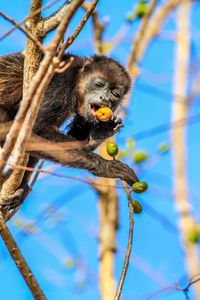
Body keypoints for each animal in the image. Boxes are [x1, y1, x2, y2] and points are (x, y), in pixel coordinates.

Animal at [0, 52, 138, 209]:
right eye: (99, 84)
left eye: (115, 94)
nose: (105, 98)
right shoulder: (60, 82)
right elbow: (36, 129)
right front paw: (106, 166)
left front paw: (99, 133)